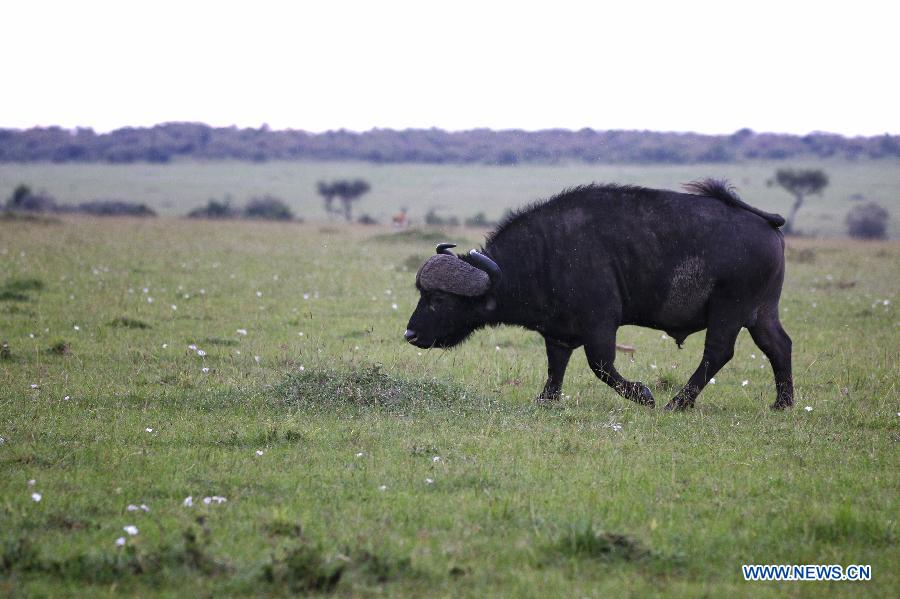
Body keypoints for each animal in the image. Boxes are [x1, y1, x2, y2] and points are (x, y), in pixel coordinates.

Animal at [408, 180, 796, 410]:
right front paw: (546, 401)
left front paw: (644, 395)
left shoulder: (600, 324)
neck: (546, 254)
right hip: (761, 311)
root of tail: (765, 223)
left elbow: (601, 366)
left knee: (718, 353)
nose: (410, 333)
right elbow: (555, 366)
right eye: (421, 293)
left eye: (439, 300)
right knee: (778, 345)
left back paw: (676, 403)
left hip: (729, 310)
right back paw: (783, 403)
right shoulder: (558, 332)